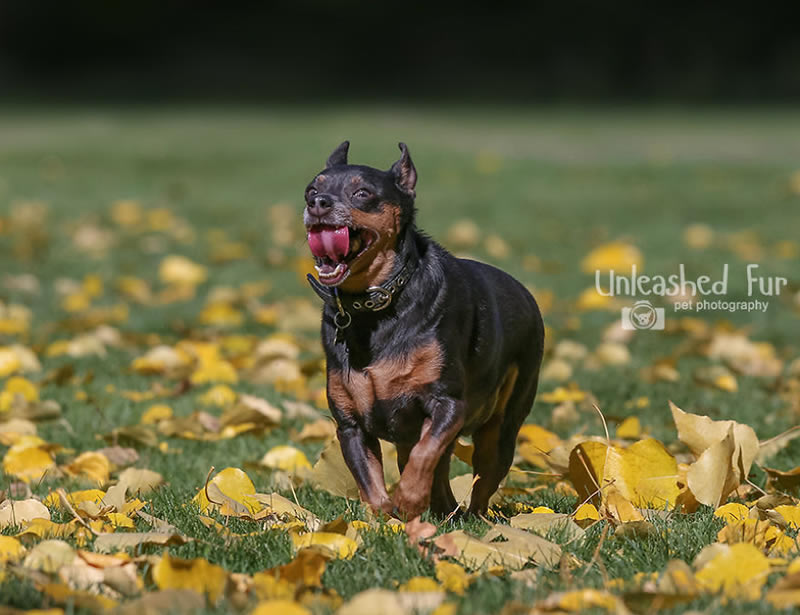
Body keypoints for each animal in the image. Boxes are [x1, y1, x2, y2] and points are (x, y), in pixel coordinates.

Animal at [304, 141, 544, 520]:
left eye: (363, 193)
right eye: (311, 190)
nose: (317, 203)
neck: (375, 306)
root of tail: (528, 295)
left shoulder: (447, 404)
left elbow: (425, 452)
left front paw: (409, 499)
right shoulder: (350, 425)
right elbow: (370, 482)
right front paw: (385, 516)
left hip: (503, 426)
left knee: (482, 477)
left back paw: (471, 516)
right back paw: (445, 511)